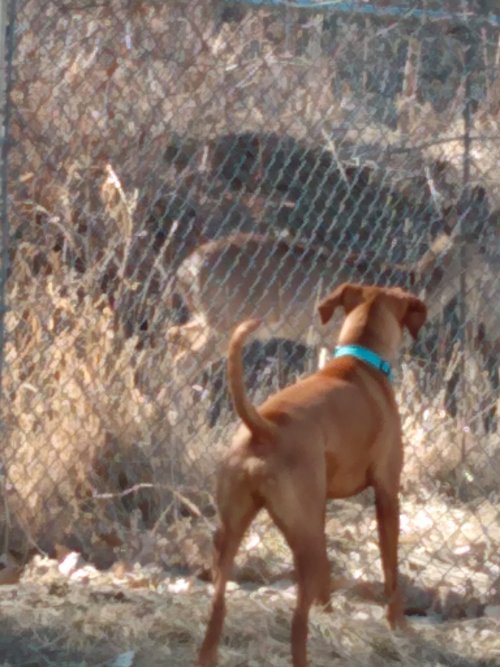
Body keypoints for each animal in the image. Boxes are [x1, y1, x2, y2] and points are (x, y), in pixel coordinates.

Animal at [197, 284, 428, 667]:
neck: (360, 359)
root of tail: (265, 427)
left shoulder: (320, 507)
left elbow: (328, 579)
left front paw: (329, 614)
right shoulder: (387, 494)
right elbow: (391, 570)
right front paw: (398, 623)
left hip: (230, 535)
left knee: (217, 605)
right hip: (302, 544)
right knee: (296, 624)